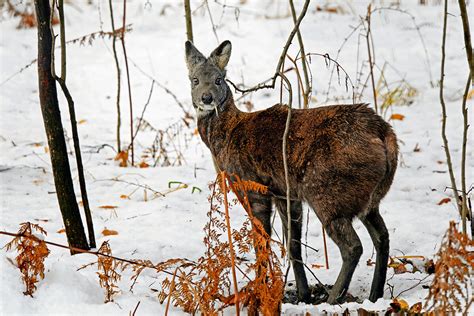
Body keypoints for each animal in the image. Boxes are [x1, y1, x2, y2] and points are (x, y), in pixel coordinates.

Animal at [185, 39, 396, 304]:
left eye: (219, 79)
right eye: (194, 79)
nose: (207, 98)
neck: (227, 136)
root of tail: (384, 133)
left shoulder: (252, 185)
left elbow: (261, 242)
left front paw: (259, 291)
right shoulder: (285, 193)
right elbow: (293, 245)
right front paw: (303, 294)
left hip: (326, 192)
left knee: (353, 246)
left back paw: (333, 298)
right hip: (368, 198)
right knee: (382, 236)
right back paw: (375, 294)